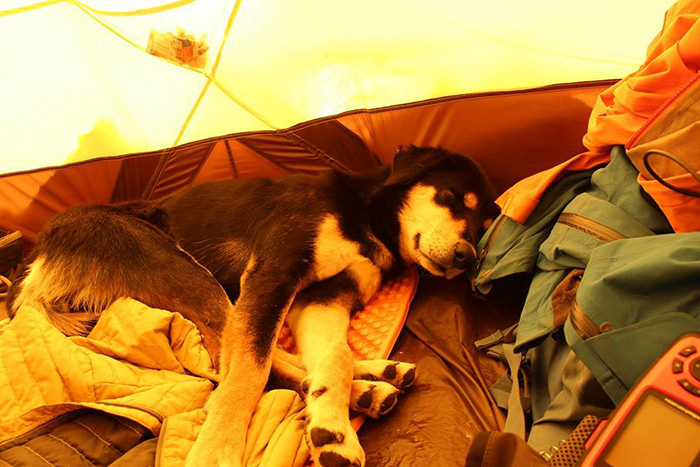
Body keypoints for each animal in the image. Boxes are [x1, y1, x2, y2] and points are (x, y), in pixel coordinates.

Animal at [5, 146, 498, 467]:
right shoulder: (272, 274)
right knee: (234, 357)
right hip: (179, 266)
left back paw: (372, 381)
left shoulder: (320, 299)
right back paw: (369, 385)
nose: (466, 257)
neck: (365, 217)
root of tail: (35, 263)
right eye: (453, 197)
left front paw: (332, 424)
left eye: (480, 228)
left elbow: (335, 355)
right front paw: (216, 453)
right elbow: (248, 374)